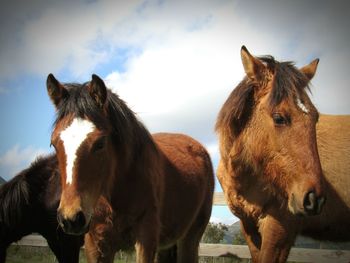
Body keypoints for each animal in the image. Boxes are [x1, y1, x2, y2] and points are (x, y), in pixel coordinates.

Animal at [45, 74, 215, 263]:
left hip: (190, 238)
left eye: (100, 143)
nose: (71, 218)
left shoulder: (146, 239)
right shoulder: (96, 244)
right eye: (54, 144)